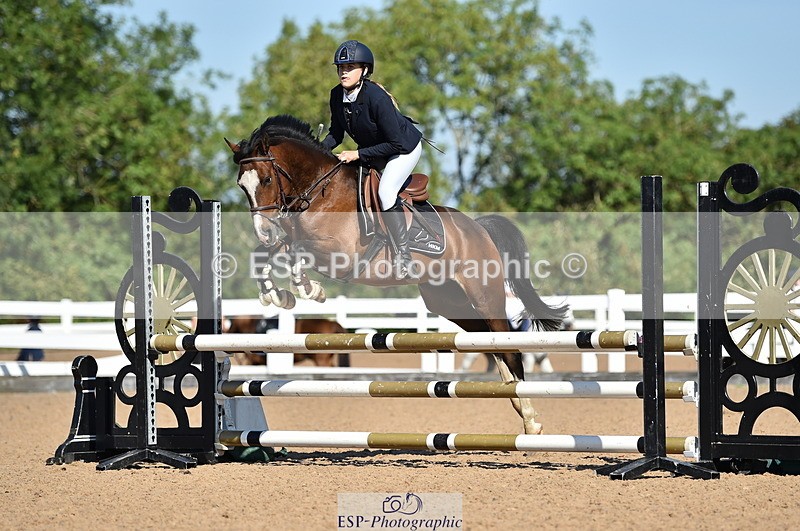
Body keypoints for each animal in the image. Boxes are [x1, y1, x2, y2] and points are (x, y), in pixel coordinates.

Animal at [225, 114, 568, 434]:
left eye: (266, 180)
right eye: (242, 186)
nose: (264, 232)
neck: (321, 191)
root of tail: (479, 228)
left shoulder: (339, 253)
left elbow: (297, 250)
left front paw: (308, 289)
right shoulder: (289, 239)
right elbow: (269, 254)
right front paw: (276, 294)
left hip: (484, 296)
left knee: (509, 347)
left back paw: (531, 420)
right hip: (447, 301)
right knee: (488, 342)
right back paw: (514, 399)